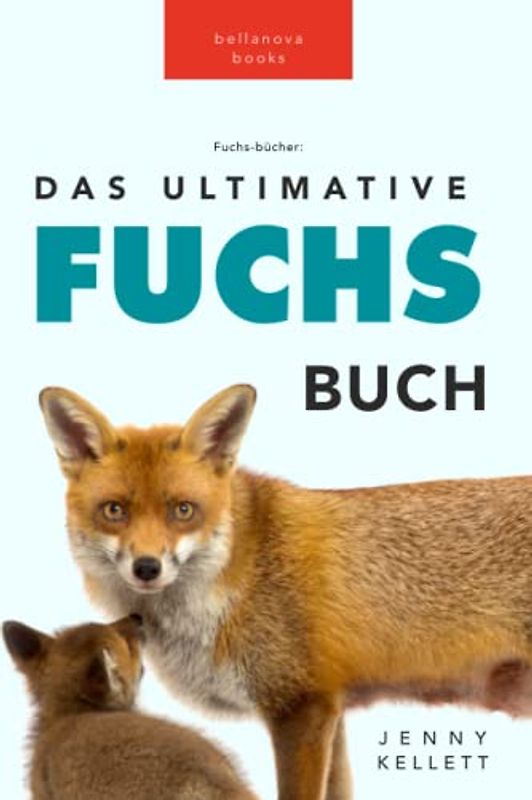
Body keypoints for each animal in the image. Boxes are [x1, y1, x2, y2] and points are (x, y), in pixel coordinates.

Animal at [38, 383, 532, 800]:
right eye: (114, 511)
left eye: (183, 510)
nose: (146, 568)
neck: (239, 575)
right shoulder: (332, 709)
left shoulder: (301, 708)